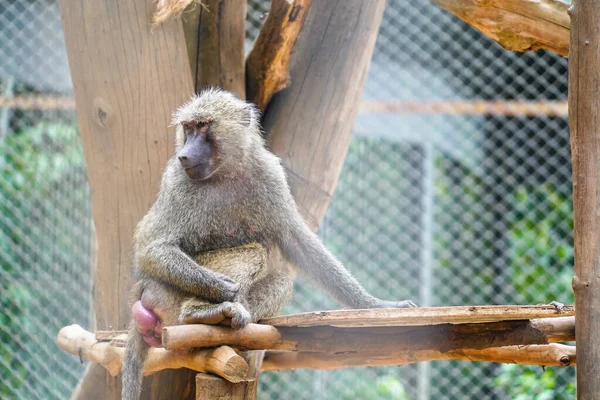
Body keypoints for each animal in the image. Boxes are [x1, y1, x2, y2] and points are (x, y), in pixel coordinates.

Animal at [120, 89, 412, 398]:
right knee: (253, 256)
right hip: (167, 295)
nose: (184, 155)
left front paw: (377, 305)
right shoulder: (176, 180)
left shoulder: (270, 174)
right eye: (188, 128)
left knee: (282, 280)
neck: (227, 172)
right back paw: (203, 312)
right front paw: (218, 287)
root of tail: (143, 293)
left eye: (203, 126)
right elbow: (151, 251)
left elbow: (298, 241)